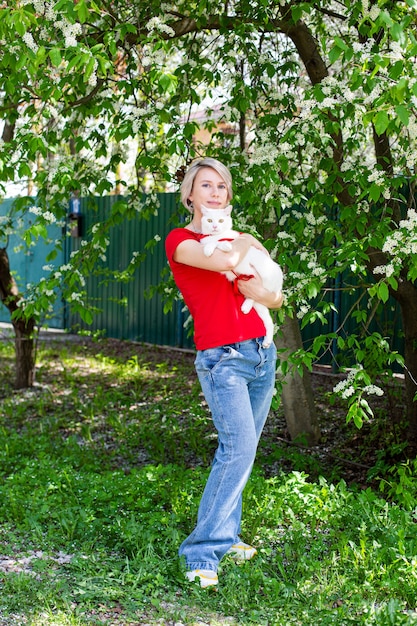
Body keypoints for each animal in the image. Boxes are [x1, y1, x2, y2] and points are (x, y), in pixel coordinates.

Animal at [199, 205, 282, 346]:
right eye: (209, 220)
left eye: (221, 220)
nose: (215, 226)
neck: (217, 236)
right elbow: (209, 243)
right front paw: (208, 247)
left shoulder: (233, 248)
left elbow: (219, 243)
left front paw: (217, 246)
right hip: (260, 304)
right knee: (268, 320)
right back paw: (266, 341)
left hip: (262, 276)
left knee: (256, 292)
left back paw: (246, 306)